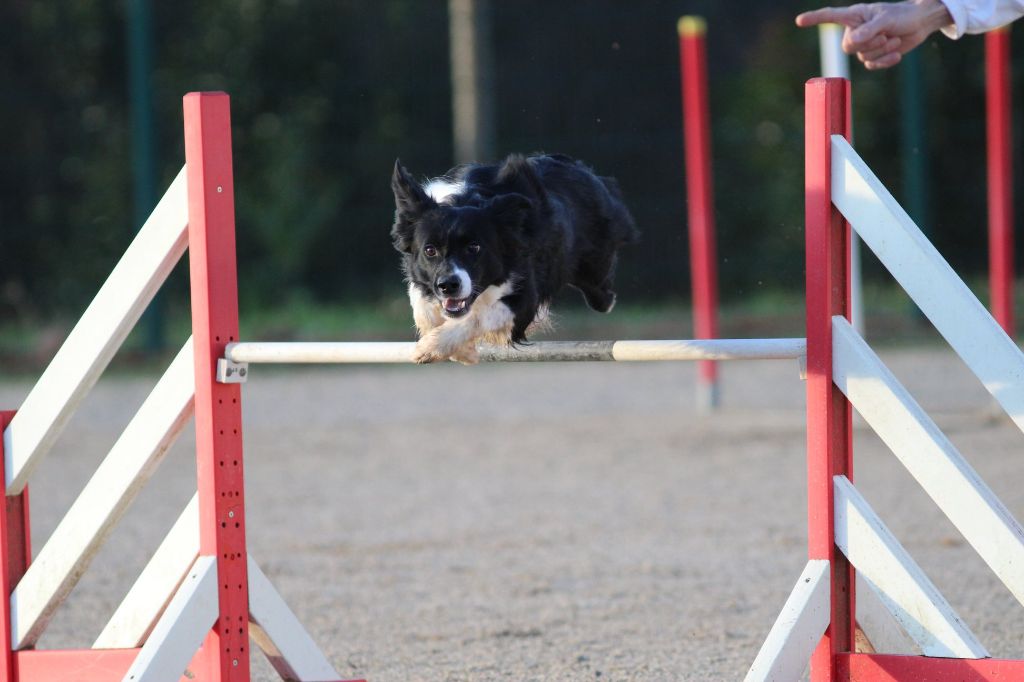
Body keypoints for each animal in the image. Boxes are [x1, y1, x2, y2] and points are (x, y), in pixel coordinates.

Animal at [389, 151, 634, 364]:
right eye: (430, 250)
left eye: (474, 247)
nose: (448, 286)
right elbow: (421, 307)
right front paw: (459, 350)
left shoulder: (525, 296)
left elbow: (481, 316)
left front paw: (433, 347)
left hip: (595, 270)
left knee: (603, 297)